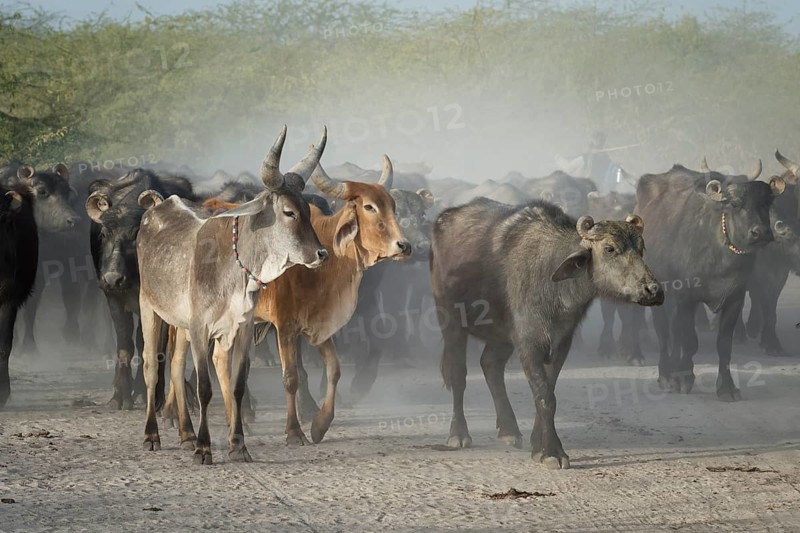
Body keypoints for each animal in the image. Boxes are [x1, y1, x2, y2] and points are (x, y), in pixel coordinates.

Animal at [86, 168, 196, 409]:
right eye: (104, 234)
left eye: (135, 233)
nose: (112, 278)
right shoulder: (113, 298)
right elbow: (125, 343)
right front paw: (121, 394)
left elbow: (151, 345)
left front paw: (148, 394)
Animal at [137, 126, 329, 465]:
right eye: (289, 212)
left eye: (308, 210)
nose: (321, 254)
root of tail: (157, 206)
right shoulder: (201, 328)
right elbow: (204, 387)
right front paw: (204, 448)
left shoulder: (242, 329)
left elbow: (238, 385)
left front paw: (238, 445)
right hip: (149, 306)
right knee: (151, 367)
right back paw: (152, 436)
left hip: (181, 324)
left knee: (176, 367)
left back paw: (186, 435)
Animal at [430, 198, 663, 469]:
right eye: (610, 249)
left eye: (641, 248)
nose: (653, 290)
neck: (555, 287)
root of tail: (444, 218)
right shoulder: (529, 343)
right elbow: (544, 396)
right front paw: (552, 451)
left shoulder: (562, 342)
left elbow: (549, 391)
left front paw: (538, 443)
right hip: (451, 321)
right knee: (458, 375)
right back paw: (458, 434)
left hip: (501, 335)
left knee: (490, 365)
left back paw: (509, 430)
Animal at [628, 162, 783, 400]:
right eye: (736, 203)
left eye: (767, 202)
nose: (761, 232)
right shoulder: (686, 297)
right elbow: (689, 340)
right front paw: (683, 378)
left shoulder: (735, 298)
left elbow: (724, 344)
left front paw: (726, 387)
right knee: (664, 333)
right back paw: (666, 374)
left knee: (673, 332)